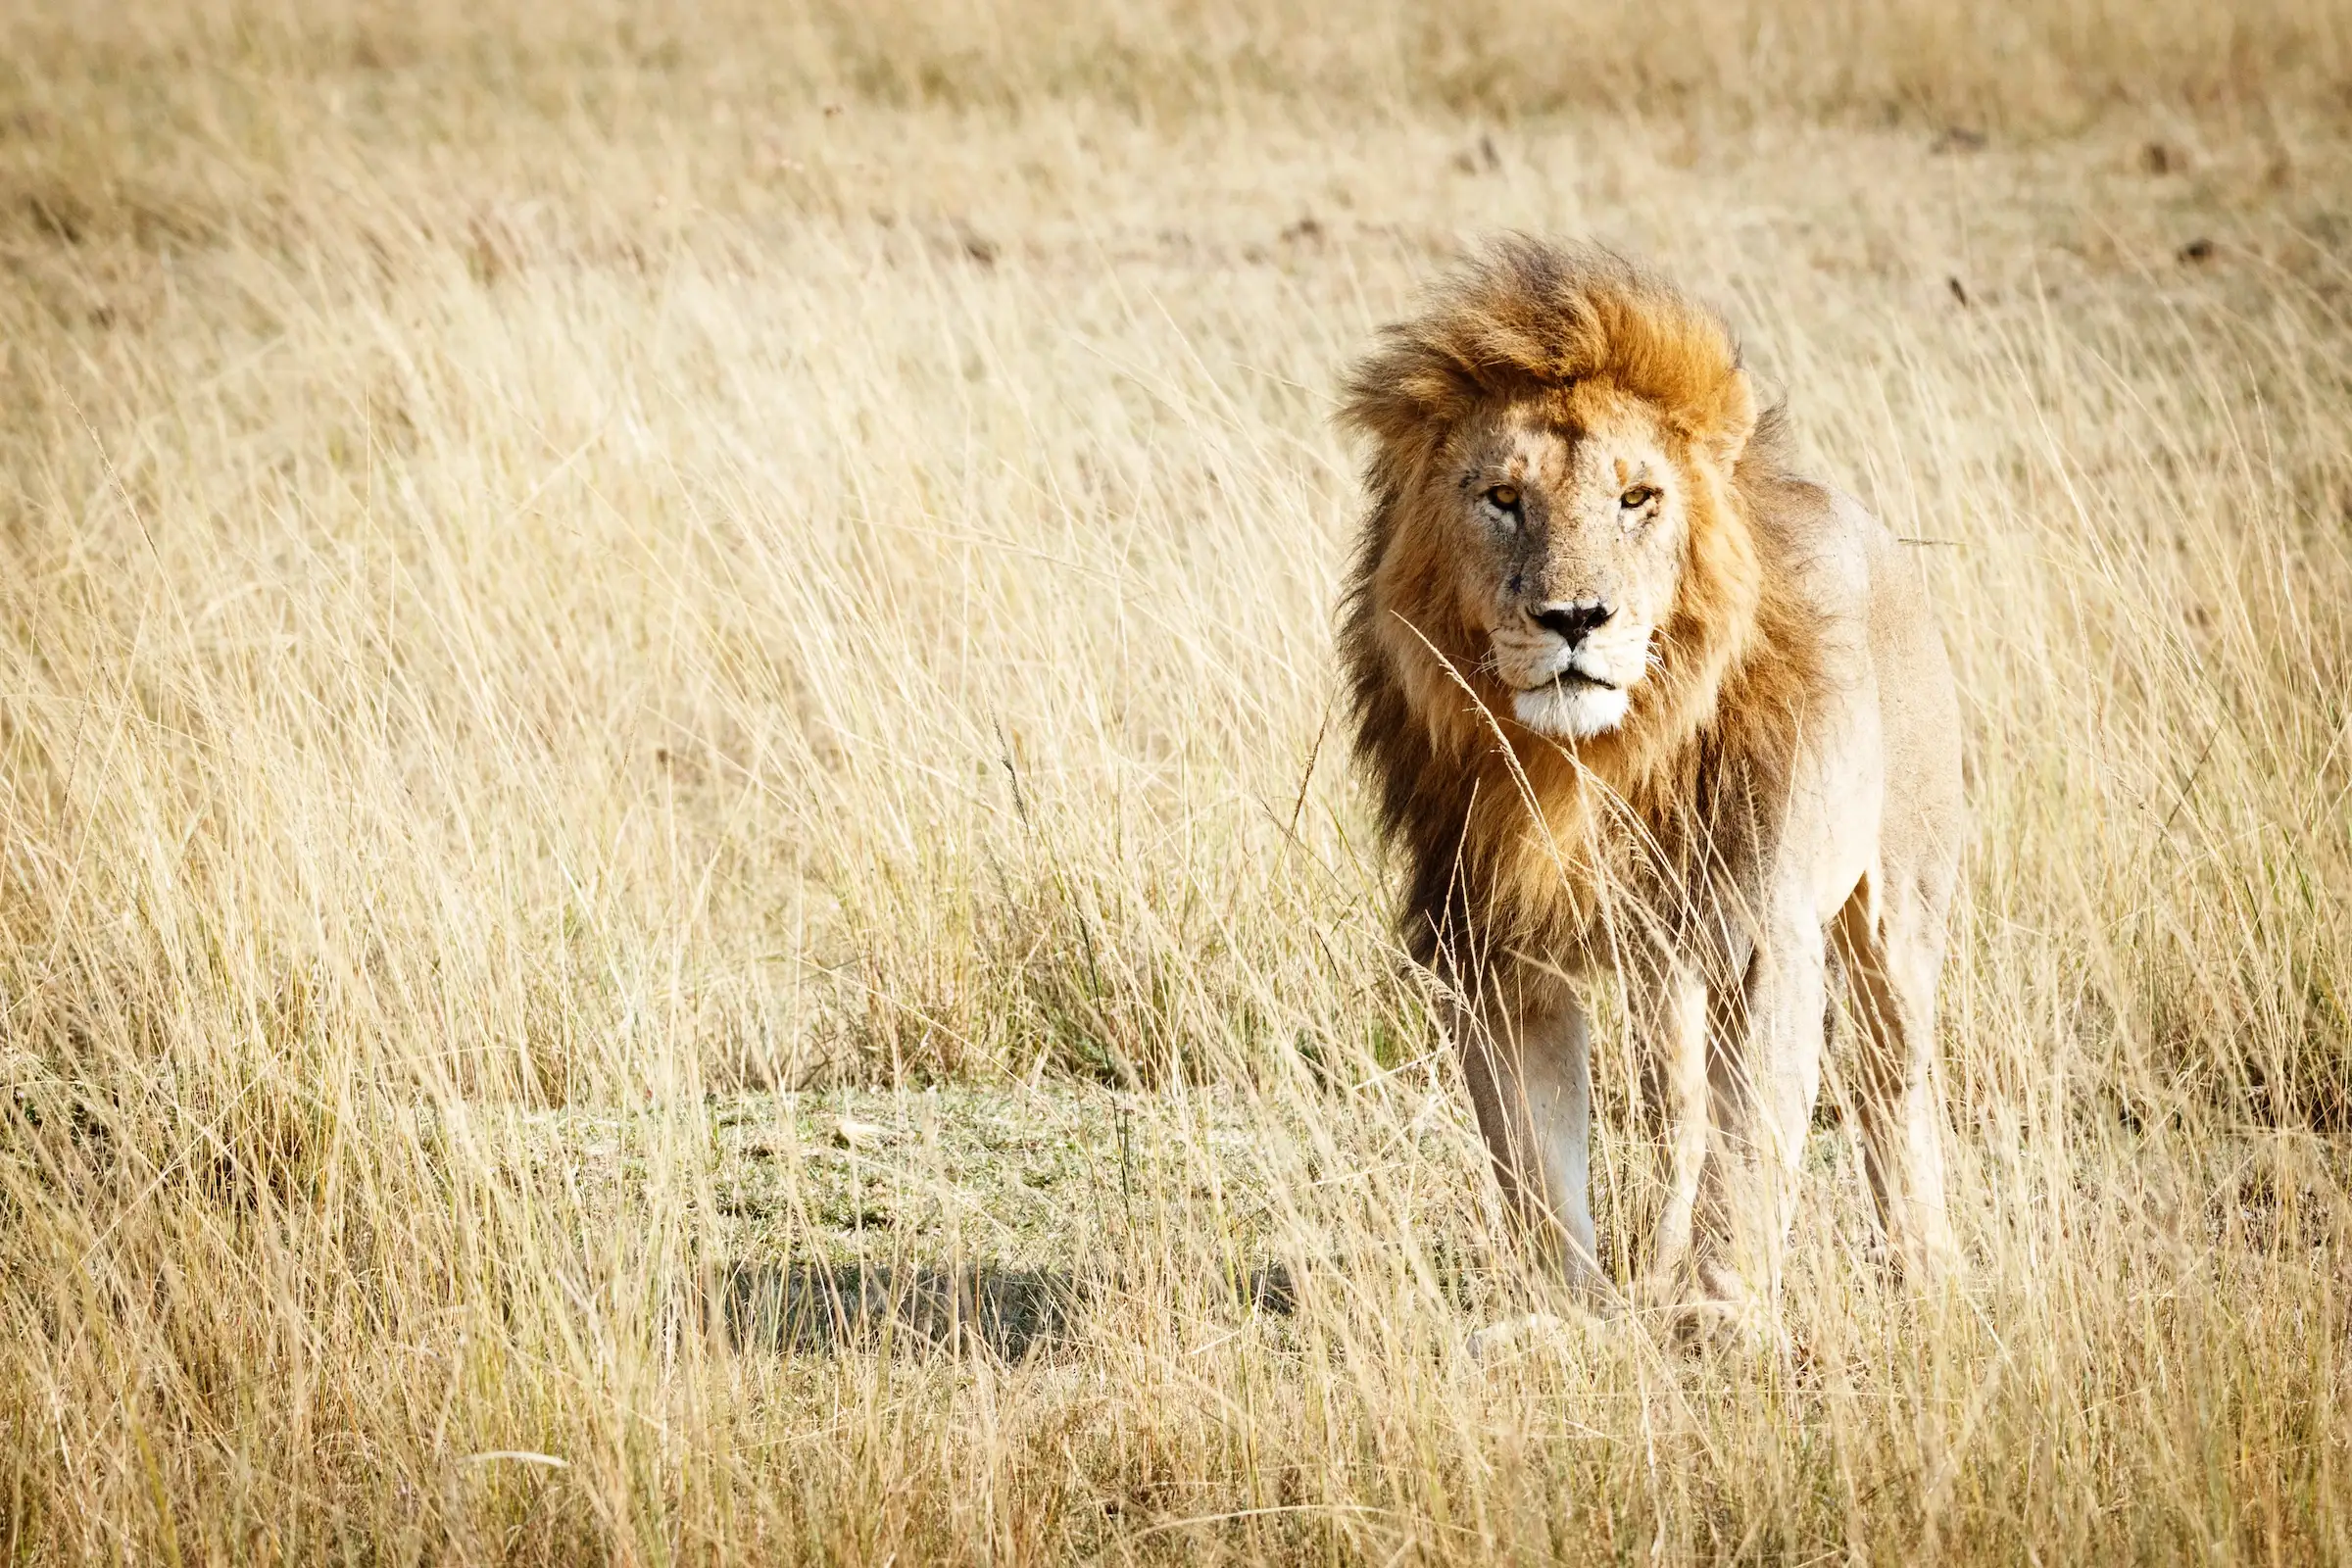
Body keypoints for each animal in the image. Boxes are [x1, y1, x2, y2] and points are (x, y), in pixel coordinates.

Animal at [1336, 239, 1964, 1338]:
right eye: (1504, 499)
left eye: (1638, 500)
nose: (1574, 617)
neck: (1586, 763)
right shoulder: (1491, 950)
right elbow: (1536, 1160)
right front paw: (1569, 1312)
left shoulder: (1762, 935)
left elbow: (1750, 1144)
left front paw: (1724, 1316)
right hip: (1666, 963)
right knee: (1679, 1106)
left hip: (1897, 907)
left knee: (1895, 1084)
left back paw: (1924, 1271)